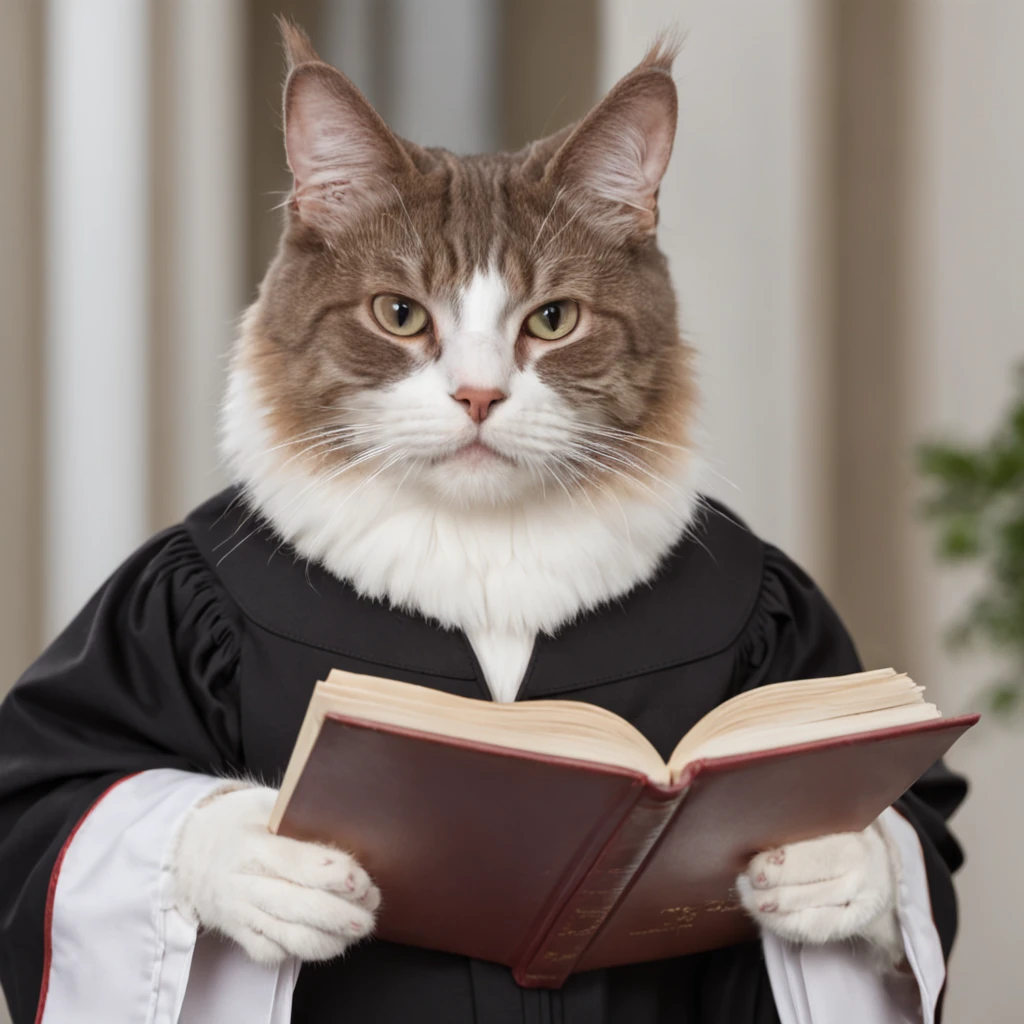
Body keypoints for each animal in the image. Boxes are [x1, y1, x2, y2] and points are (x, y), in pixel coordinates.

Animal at [174, 19, 905, 970]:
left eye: (553, 321)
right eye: (400, 315)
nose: (479, 396)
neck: (487, 545)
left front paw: (835, 860)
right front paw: (267, 864)